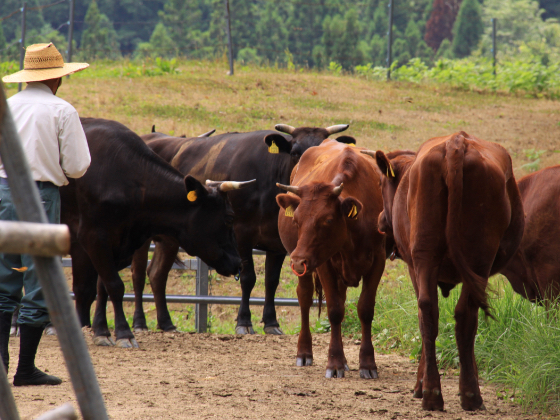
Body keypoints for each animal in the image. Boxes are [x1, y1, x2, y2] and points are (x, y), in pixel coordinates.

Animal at [61, 119, 254, 348]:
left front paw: (101, 330)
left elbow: (103, 286)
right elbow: (114, 285)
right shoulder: (94, 237)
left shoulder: (118, 244)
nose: (238, 262)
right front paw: (124, 332)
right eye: (230, 217)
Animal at [130, 122, 354, 334]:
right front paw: (244, 322)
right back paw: (140, 323)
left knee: (157, 273)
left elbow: (272, 280)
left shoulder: (277, 243)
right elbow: (248, 277)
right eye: (295, 153)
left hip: (169, 238)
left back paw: (166, 323)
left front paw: (271, 322)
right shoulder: (241, 234)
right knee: (139, 273)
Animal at [274, 139, 384, 380]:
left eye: (328, 220)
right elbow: (334, 311)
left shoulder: (378, 262)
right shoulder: (323, 264)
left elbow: (365, 309)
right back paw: (304, 352)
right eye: (296, 220)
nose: (298, 261)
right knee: (305, 298)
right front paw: (334, 363)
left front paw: (367, 363)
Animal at [366, 131, 528, 410]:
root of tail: (456, 142)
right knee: (461, 315)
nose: (380, 221)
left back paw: (433, 392)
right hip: (474, 259)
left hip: (428, 254)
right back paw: (466, 394)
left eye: (380, 183)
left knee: (431, 311)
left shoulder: (415, 268)